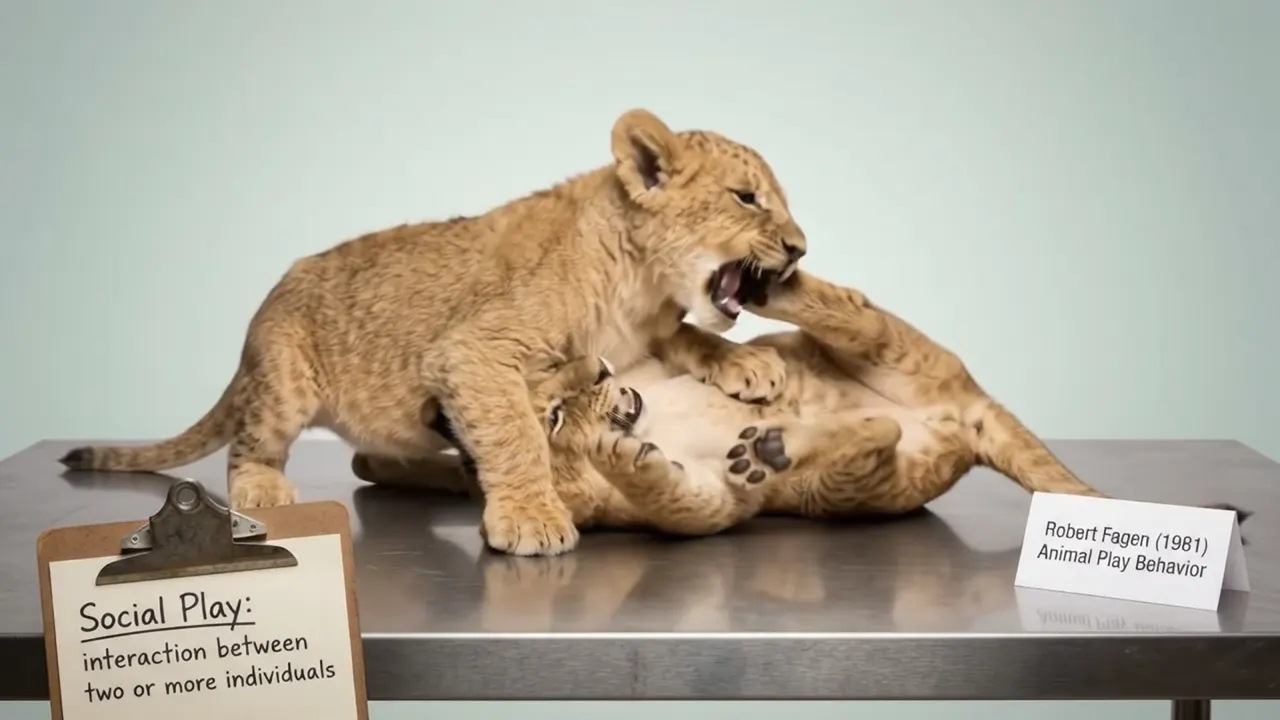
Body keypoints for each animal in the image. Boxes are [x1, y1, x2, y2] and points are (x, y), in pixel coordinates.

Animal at [57, 108, 808, 556]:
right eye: (747, 198)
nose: (801, 248)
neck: (639, 285)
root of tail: (263, 308)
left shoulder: (648, 334)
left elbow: (690, 336)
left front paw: (746, 365)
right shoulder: (473, 349)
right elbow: (515, 431)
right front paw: (531, 517)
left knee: (370, 454)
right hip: (283, 379)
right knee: (250, 447)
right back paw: (265, 487)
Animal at [353, 268, 1251, 528]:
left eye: (593, 369)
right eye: (549, 412)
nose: (610, 386)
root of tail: (962, 403)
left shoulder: (650, 345)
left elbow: (687, 338)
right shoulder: (713, 508)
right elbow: (677, 494)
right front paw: (624, 454)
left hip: (884, 346)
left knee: (845, 307)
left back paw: (762, 282)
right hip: (860, 486)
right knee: (872, 435)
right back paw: (774, 445)